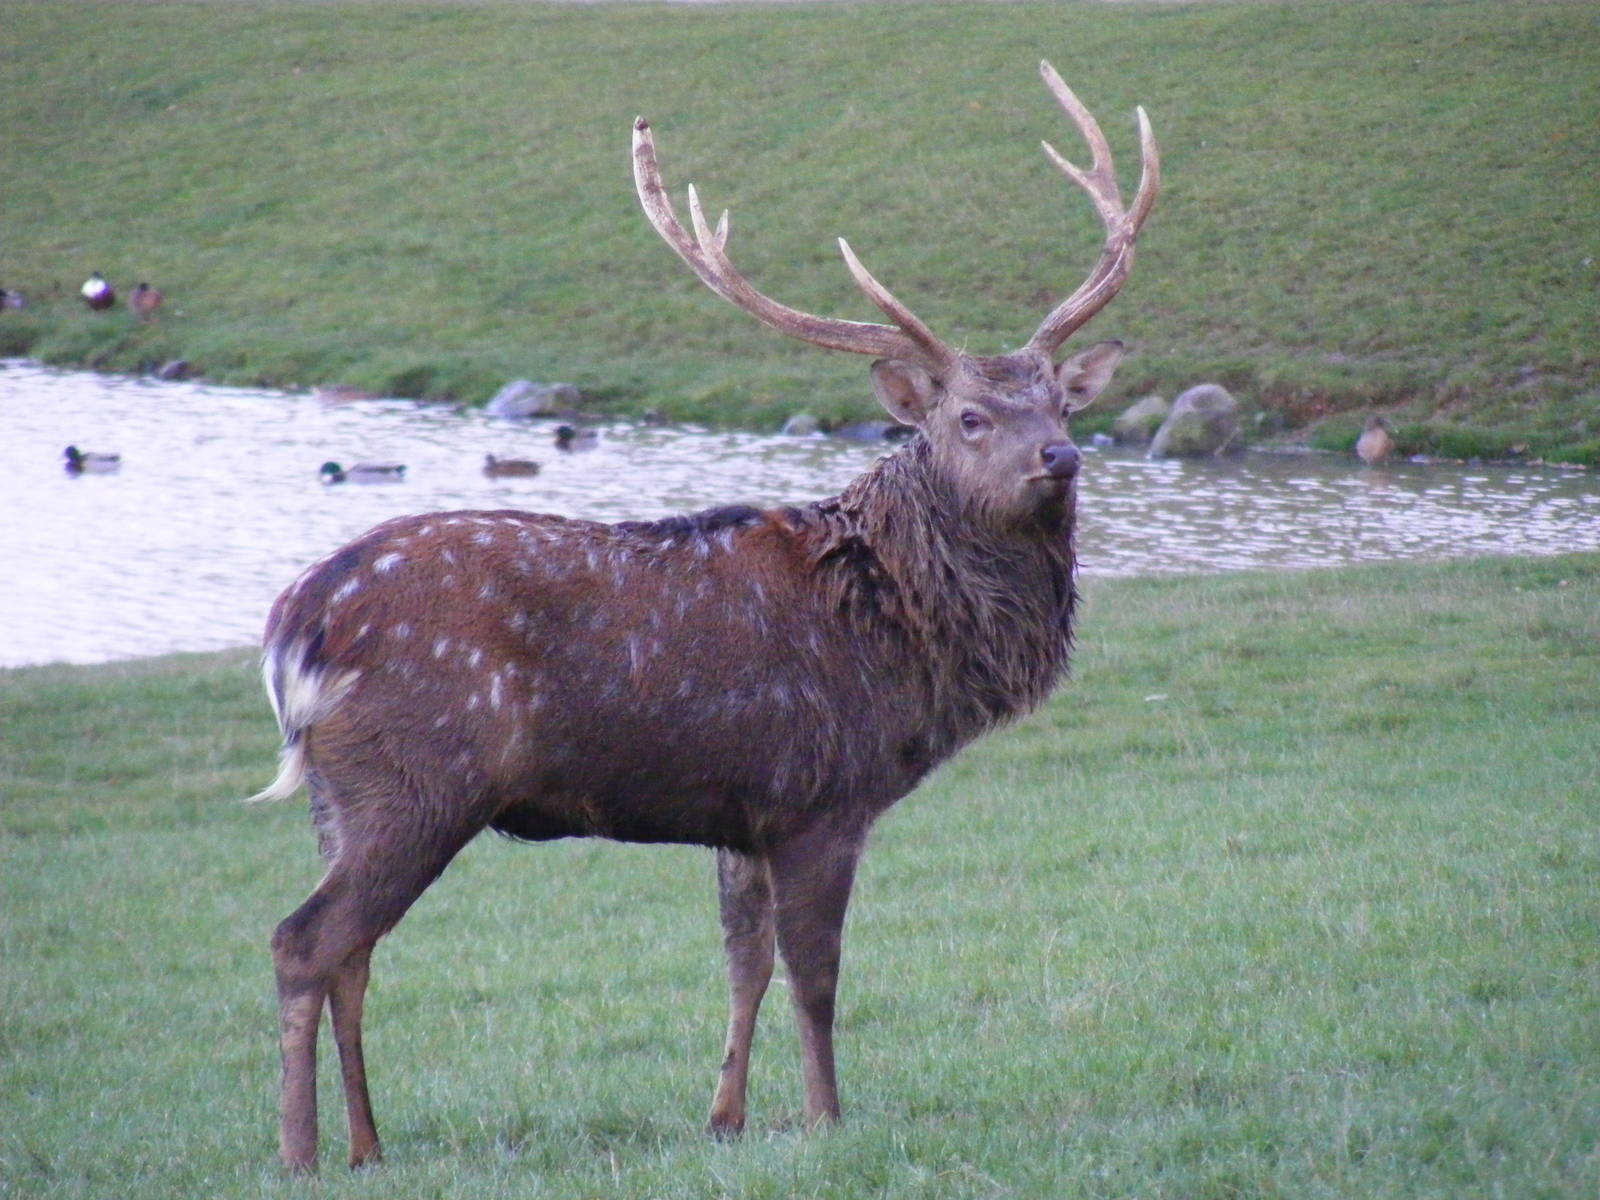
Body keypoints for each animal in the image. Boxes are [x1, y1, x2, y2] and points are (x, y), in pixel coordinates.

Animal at [252, 60, 1157, 1172]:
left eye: (1063, 406)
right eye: (970, 417)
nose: (1059, 457)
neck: (902, 633)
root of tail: (294, 629)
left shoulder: (744, 812)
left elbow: (744, 963)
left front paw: (724, 1117)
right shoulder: (822, 794)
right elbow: (816, 974)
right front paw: (826, 1118)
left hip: (338, 800)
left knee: (353, 953)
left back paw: (370, 1146)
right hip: (415, 777)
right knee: (304, 942)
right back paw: (298, 1151)